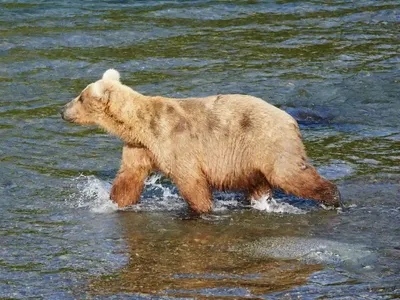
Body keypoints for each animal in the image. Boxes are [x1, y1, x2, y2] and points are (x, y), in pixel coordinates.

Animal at [61, 69, 342, 213]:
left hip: (269, 143)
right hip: (251, 159)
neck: (140, 126)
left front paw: (203, 209)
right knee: (258, 184)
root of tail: (291, 120)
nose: (62, 110)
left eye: (80, 97)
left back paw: (332, 198)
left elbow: (191, 180)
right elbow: (129, 177)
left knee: (290, 173)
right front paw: (113, 202)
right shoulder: (140, 147)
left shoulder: (175, 141)